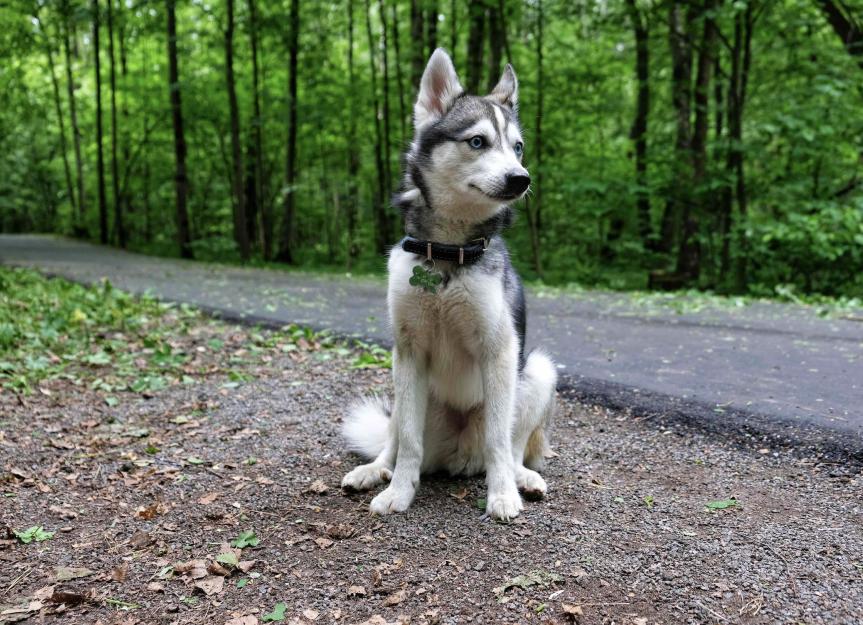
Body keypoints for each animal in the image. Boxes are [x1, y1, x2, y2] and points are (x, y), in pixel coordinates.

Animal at [340, 48, 556, 520]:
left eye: (517, 147)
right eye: (477, 142)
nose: (522, 178)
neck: (445, 254)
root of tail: (457, 456)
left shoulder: (500, 351)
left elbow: (499, 440)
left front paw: (502, 495)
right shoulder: (409, 350)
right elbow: (408, 443)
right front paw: (399, 492)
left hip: (537, 371)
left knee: (513, 447)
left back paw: (522, 478)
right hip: (405, 387)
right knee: (395, 439)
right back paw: (374, 470)